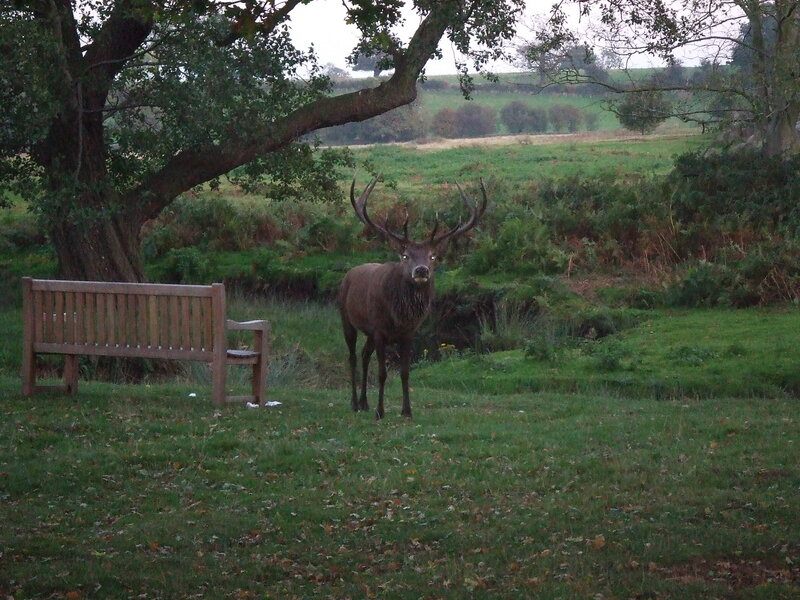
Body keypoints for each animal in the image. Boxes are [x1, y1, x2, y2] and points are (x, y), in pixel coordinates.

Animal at [338, 177, 488, 419]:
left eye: (433, 256)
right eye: (405, 255)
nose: (421, 270)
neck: (399, 316)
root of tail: (348, 274)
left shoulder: (408, 332)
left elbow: (405, 372)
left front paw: (407, 410)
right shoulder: (379, 329)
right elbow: (382, 373)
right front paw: (380, 411)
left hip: (368, 331)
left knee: (364, 354)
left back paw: (364, 402)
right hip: (346, 318)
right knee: (352, 357)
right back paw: (354, 403)